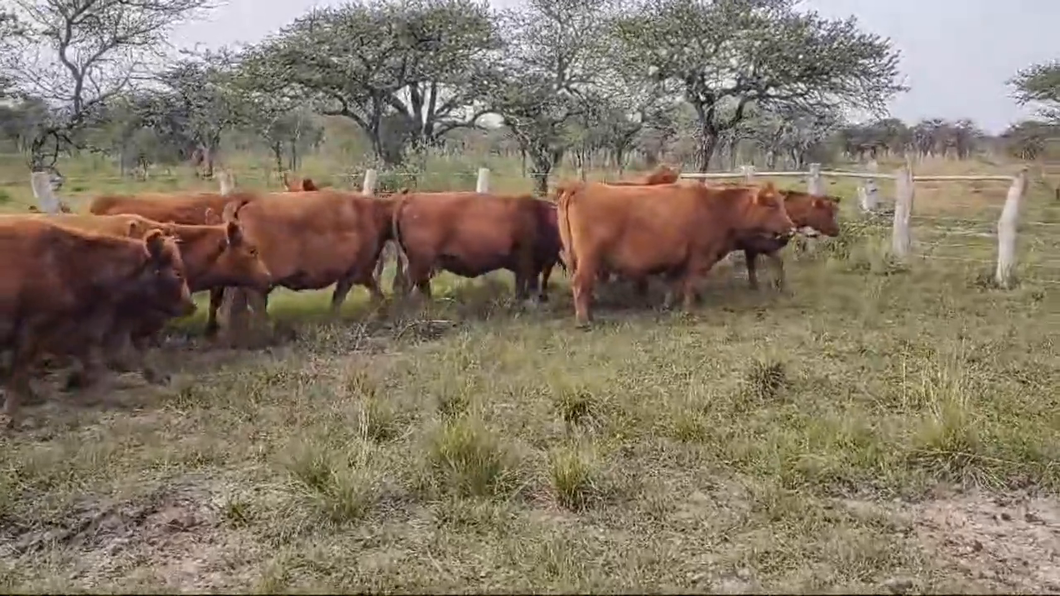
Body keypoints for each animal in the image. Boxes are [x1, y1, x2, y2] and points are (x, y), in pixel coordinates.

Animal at [0, 220, 193, 424]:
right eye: (177, 273)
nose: (191, 306)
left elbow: (94, 364)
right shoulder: (34, 327)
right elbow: (20, 369)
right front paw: (10, 411)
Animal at [387, 189, 559, 301]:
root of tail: (410, 198)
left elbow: (521, 286)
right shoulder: (528, 261)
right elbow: (529, 285)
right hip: (421, 261)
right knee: (415, 283)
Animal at [555, 180, 797, 324]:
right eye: (772, 204)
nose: (792, 228)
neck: (714, 206)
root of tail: (581, 186)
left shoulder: (677, 260)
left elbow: (673, 284)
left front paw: (667, 305)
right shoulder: (697, 257)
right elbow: (689, 284)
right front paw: (689, 310)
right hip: (588, 260)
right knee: (580, 284)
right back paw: (584, 320)